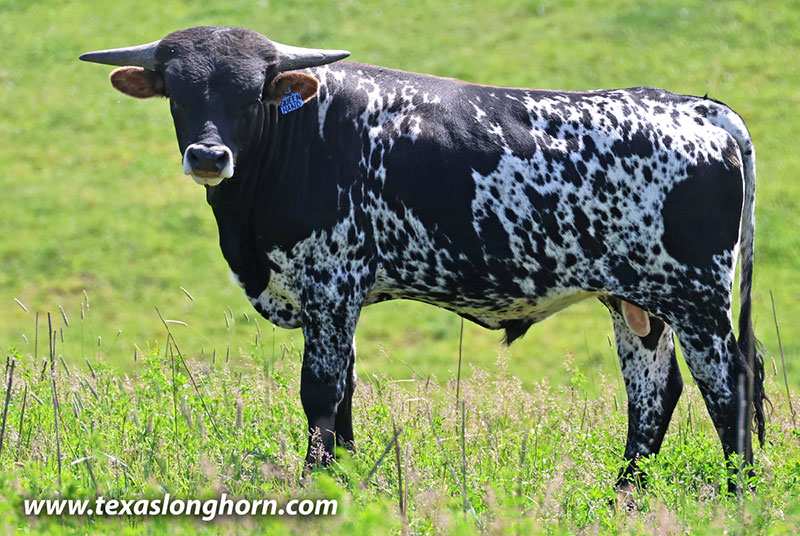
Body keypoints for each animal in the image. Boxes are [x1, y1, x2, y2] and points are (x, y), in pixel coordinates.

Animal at [80, 26, 765, 493]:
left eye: (253, 94)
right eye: (179, 93)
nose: (208, 157)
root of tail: (692, 107)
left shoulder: (331, 285)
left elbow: (319, 391)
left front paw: (316, 483)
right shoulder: (341, 299)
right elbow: (345, 392)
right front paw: (344, 479)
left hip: (696, 297)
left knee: (728, 384)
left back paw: (740, 494)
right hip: (634, 301)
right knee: (653, 393)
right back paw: (622, 496)